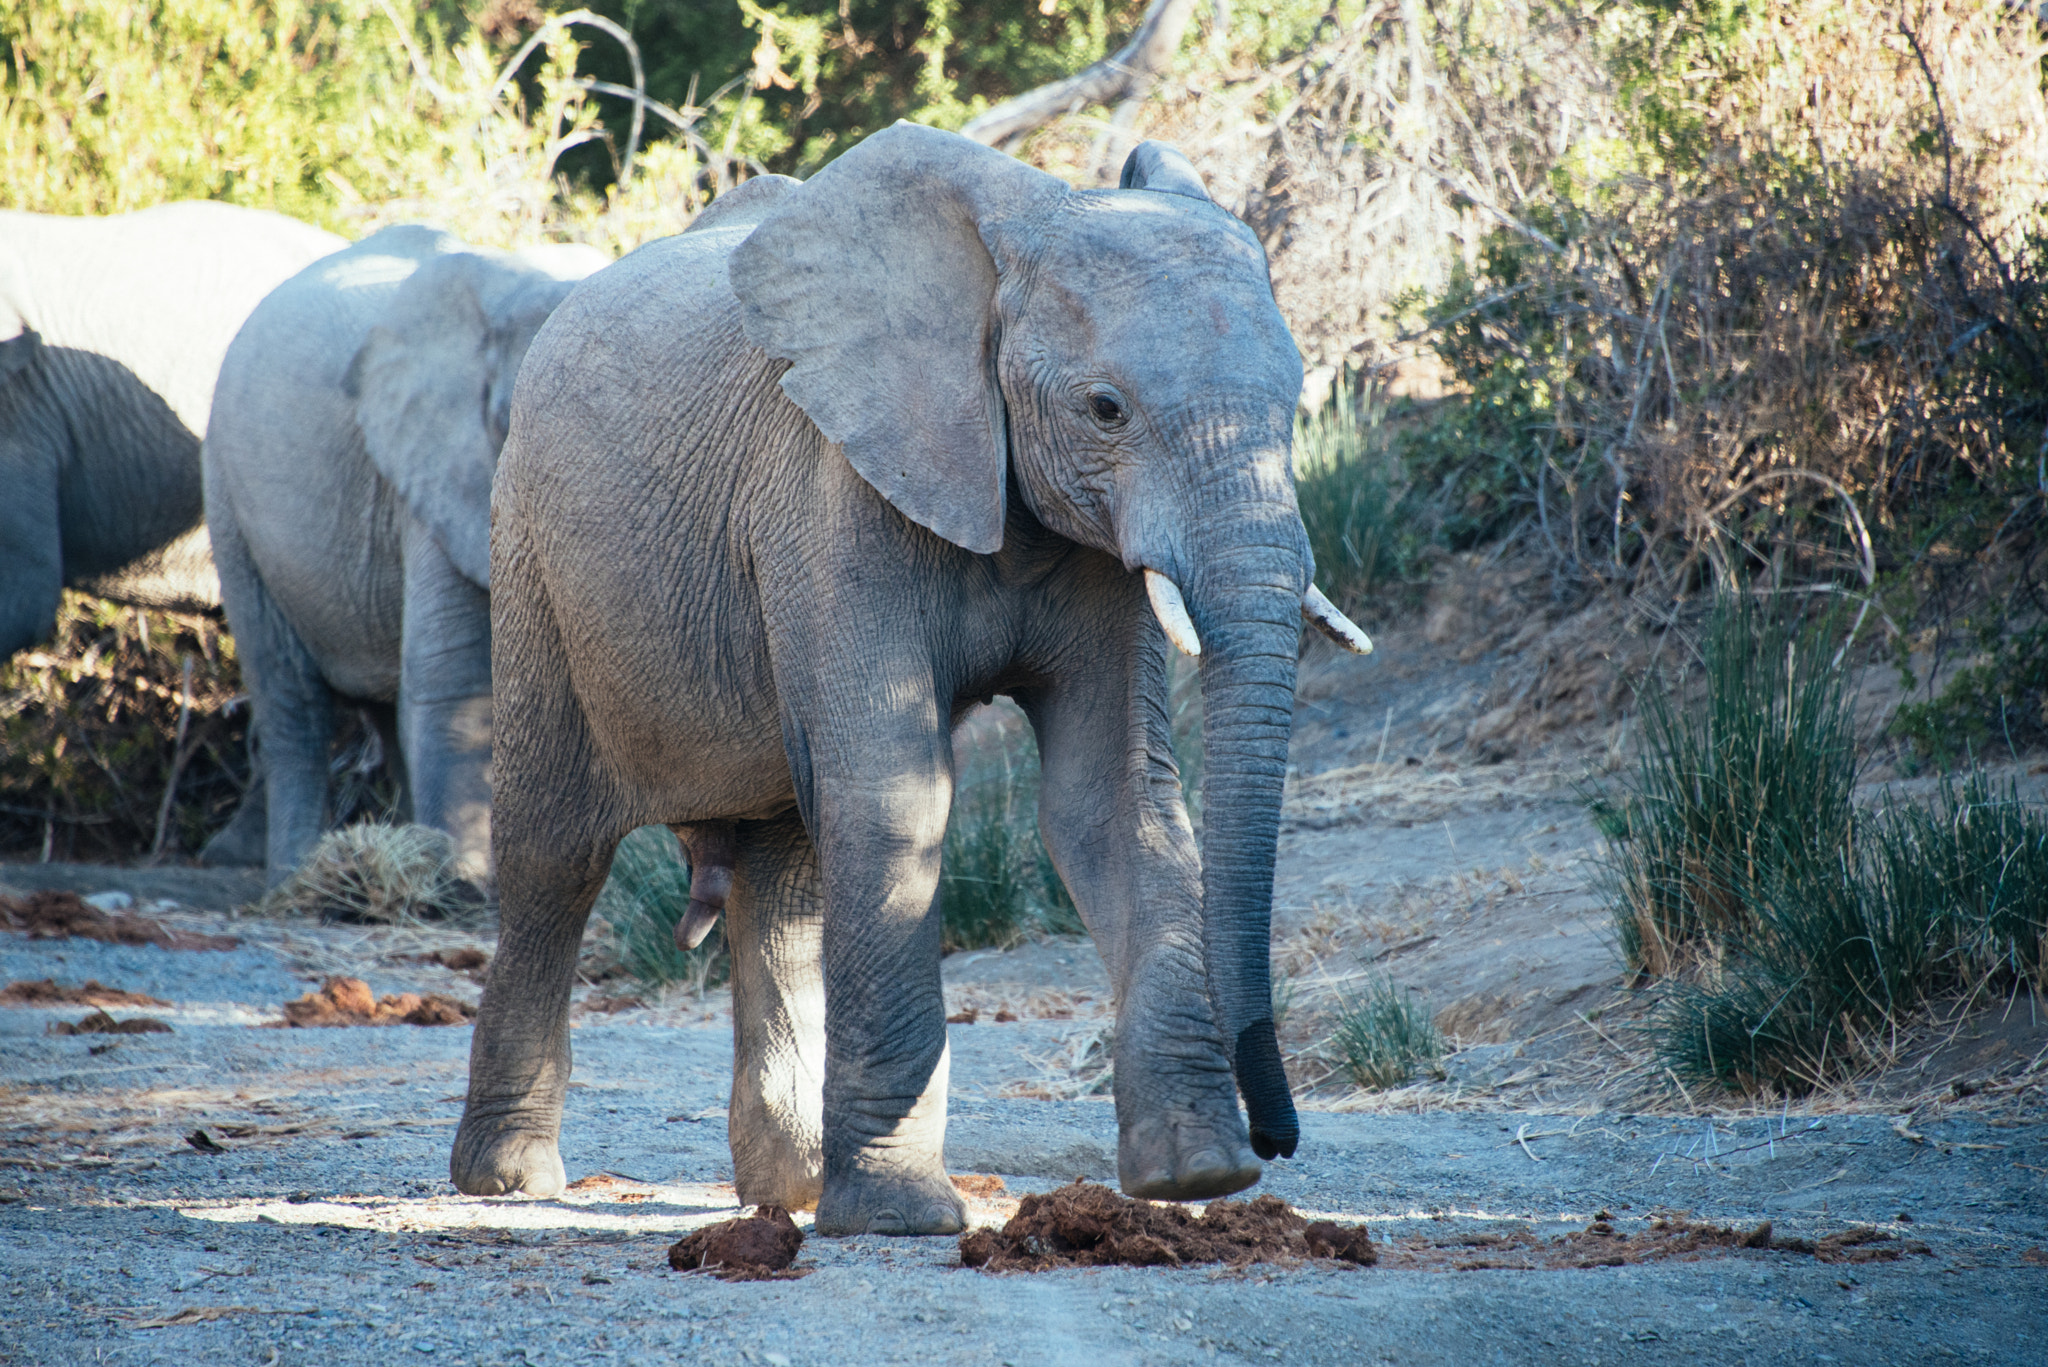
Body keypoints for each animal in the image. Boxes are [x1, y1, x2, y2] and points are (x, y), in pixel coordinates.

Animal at [205, 227, 606, 889]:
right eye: (514, 424)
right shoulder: (437, 475)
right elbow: (456, 676)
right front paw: (469, 887)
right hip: (228, 498)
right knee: (292, 701)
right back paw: (296, 881)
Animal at [452, 131, 1376, 1237]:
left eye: (1294, 404)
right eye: (1104, 409)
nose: (1279, 1137)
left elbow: (1111, 801)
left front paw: (1196, 1175)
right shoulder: (830, 492)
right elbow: (896, 793)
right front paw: (901, 1216)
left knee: (784, 872)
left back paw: (791, 1189)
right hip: (529, 558)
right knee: (553, 856)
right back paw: (510, 1180)